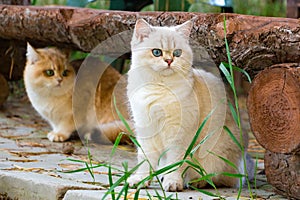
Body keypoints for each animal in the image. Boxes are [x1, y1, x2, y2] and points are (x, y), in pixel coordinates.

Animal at [126, 19, 253, 192]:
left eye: (177, 53)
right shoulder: (146, 128)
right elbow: (145, 159)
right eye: (156, 52)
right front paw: (140, 180)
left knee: (220, 179)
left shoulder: (179, 133)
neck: (160, 87)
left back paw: (196, 182)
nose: (169, 61)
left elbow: (175, 162)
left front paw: (172, 182)